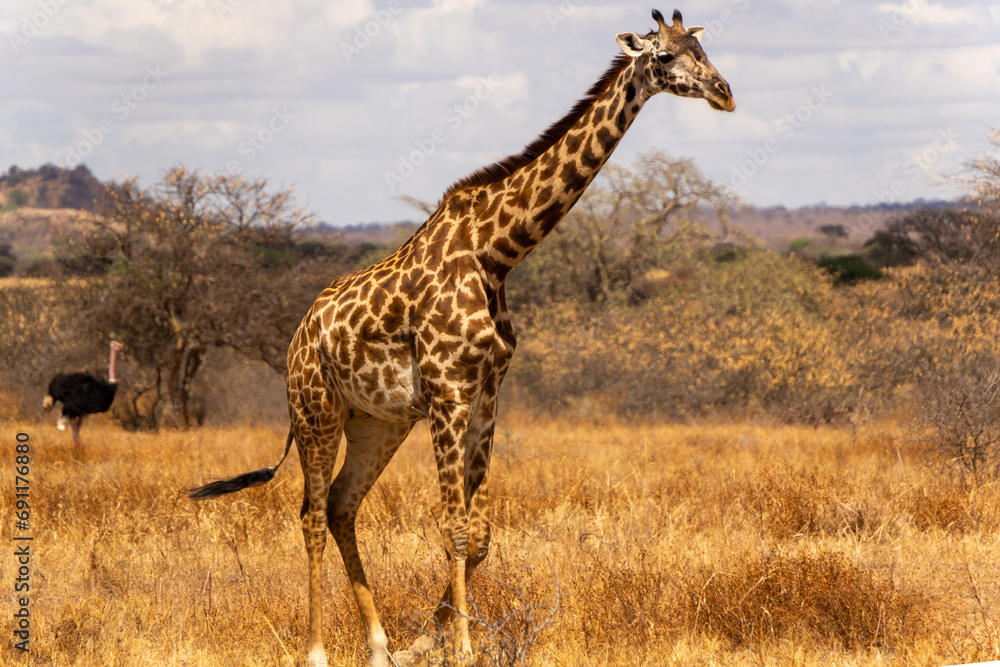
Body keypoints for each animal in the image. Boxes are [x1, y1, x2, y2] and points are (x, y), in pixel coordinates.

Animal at [190, 8, 734, 667]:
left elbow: (479, 534)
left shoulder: (487, 395)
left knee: (343, 505)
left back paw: (379, 645)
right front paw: (463, 647)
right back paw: (317, 649)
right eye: (666, 55)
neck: (496, 253)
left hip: (377, 422)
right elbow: (452, 526)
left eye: (703, 49)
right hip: (315, 410)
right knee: (312, 515)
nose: (725, 93)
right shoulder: (449, 393)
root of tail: (297, 338)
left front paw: (429, 640)